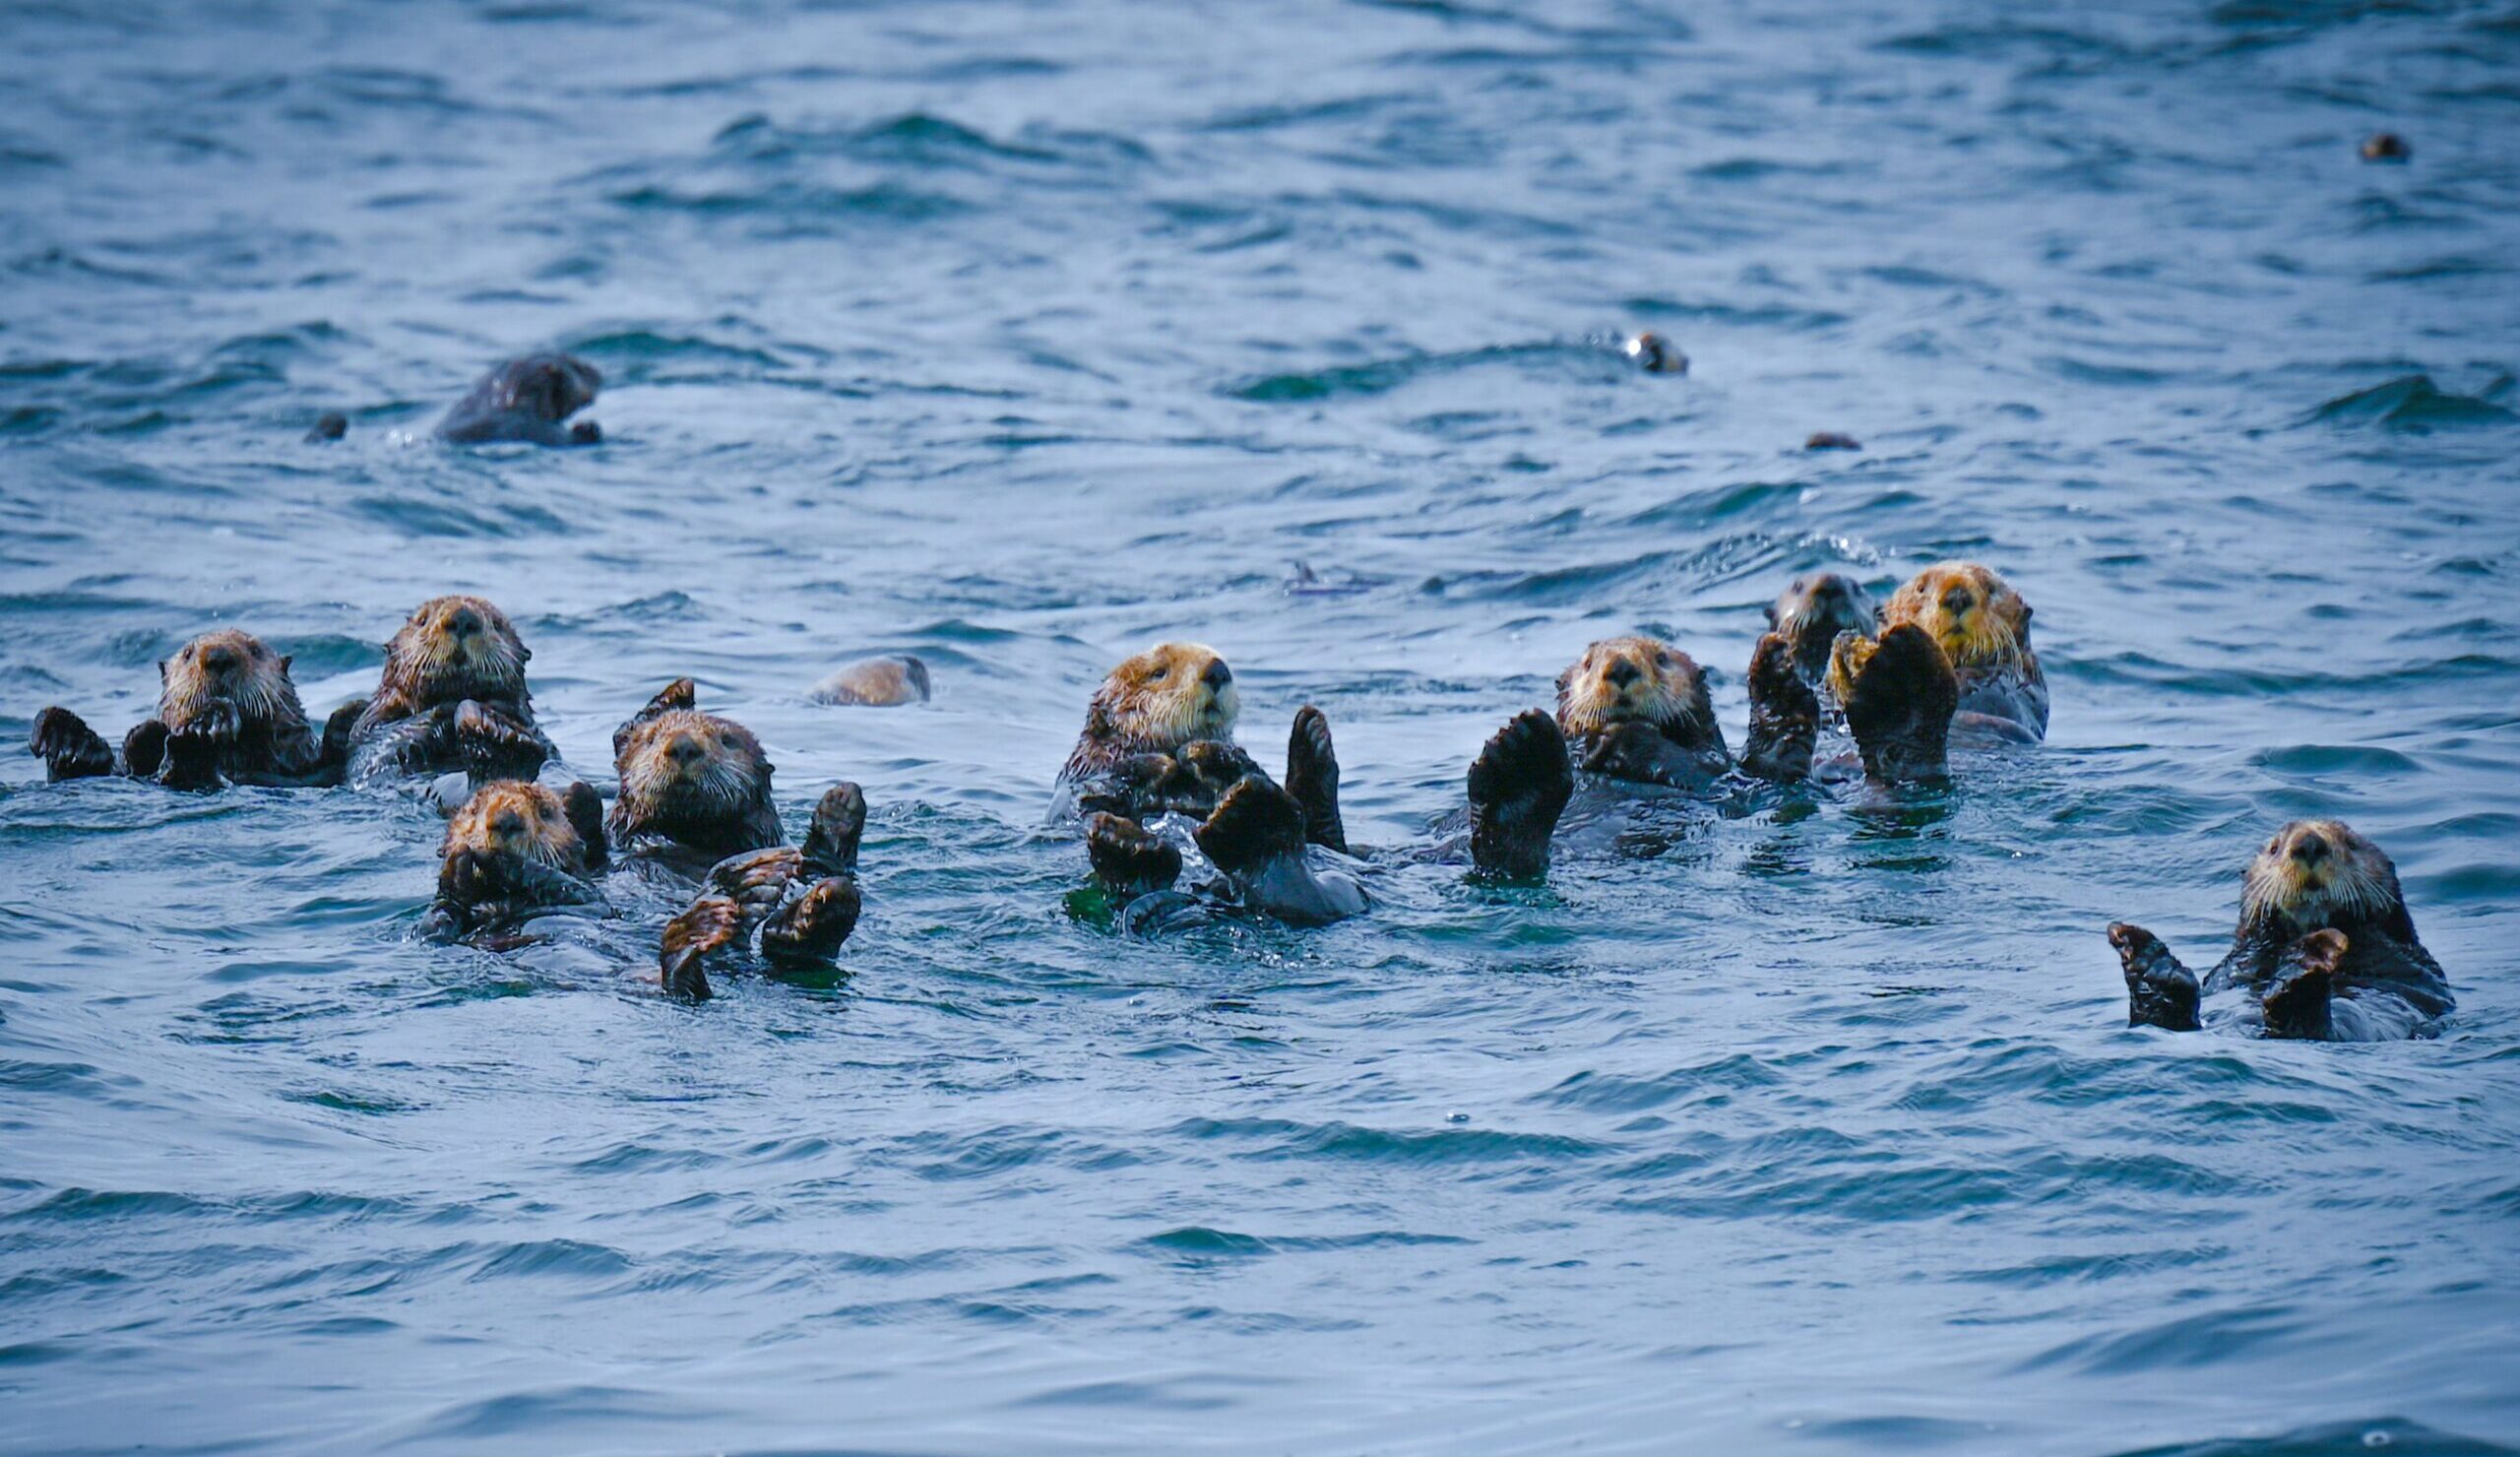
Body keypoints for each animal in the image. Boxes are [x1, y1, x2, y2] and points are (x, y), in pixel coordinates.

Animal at [345, 595, 555, 791]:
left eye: (497, 624)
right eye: (422, 620)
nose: (462, 617)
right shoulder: (371, 727)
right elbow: (375, 751)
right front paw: (448, 710)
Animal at [423, 779, 609, 938]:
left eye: (545, 812)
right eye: (474, 811)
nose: (505, 820)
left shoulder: (591, 898)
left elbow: (573, 887)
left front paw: (495, 857)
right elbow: (432, 927)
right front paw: (456, 865)